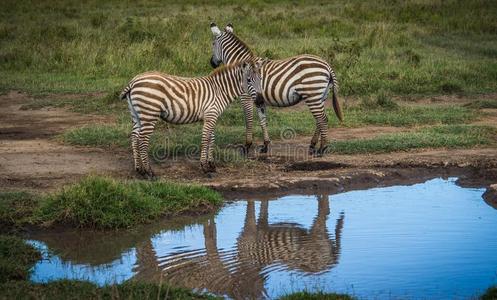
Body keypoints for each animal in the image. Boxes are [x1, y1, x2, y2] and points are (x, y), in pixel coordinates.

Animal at [120, 60, 264, 178]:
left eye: (260, 79)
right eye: (249, 80)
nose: (261, 101)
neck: (219, 90)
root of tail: (134, 80)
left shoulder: (211, 116)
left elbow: (212, 139)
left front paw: (211, 165)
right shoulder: (210, 115)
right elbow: (205, 140)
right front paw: (204, 168)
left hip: (137, 115)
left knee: (134, 137)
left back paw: (139, 170)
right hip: (149, 114)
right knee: (142, 140)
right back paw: (149, 172)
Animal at [207, 21, 342, 155]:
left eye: (213, 44)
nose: (212, 63)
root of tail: (327, 65)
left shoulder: (246, 97)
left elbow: (248, 120)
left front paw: (247, 146)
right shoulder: (259, 100)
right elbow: (263, 121)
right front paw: (265, 145)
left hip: (312, 95)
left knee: (322, 119)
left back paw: (322, 148)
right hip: (321, 96)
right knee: (320, 120)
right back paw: (313, 145)